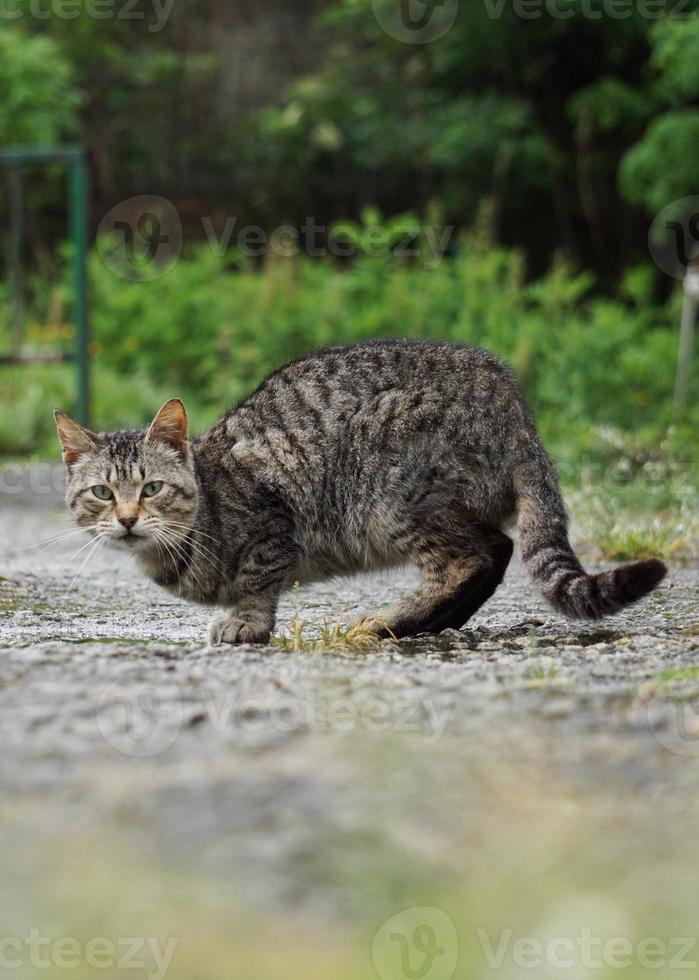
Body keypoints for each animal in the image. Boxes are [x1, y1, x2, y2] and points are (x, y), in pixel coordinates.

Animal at [54, 340, 668, 648]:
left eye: (152, 488)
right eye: (103, 493)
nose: (128, 519)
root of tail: (516, 410)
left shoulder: (273, 522)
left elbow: (257, 580)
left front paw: (246, 622)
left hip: (388, 489)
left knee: (477, 556)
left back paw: (393, 622)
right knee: (496, 552)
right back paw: (429, 623)